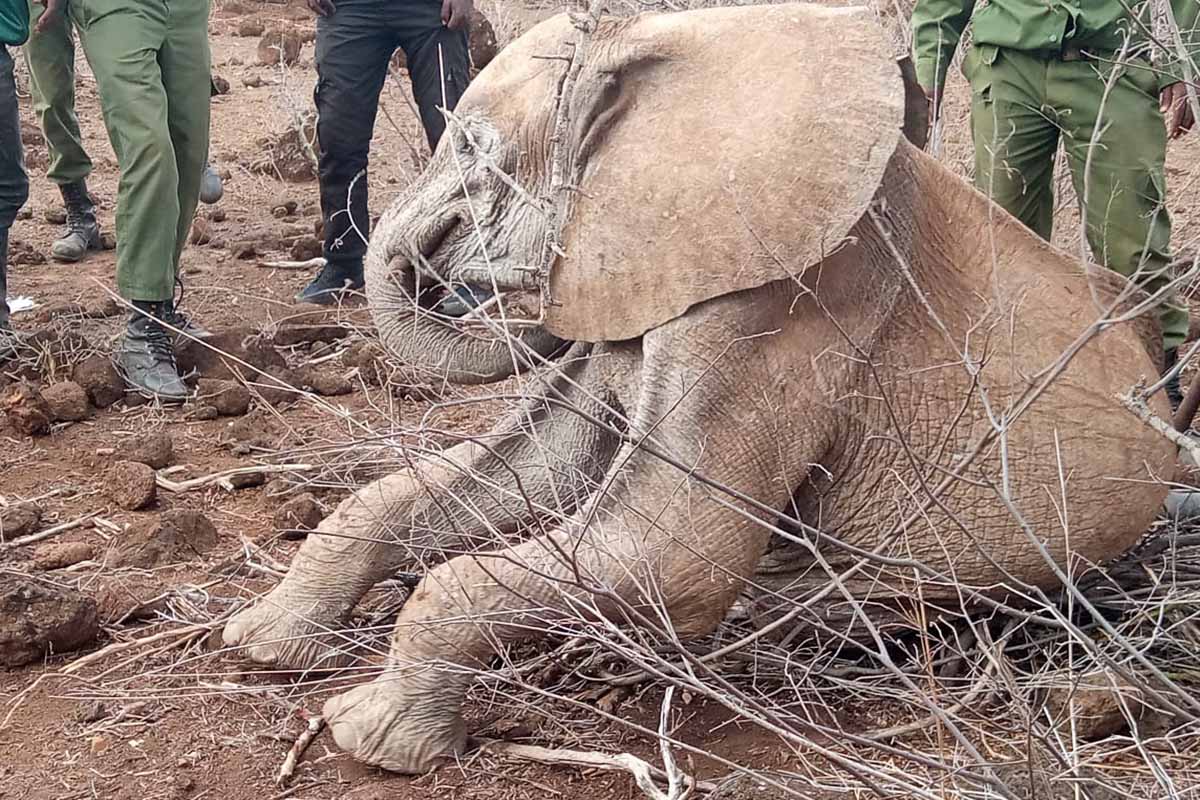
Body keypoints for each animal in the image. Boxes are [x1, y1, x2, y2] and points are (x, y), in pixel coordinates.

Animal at [220, 0, 1176, 777]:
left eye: (469, 145)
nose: (509, 302)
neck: (676, 42)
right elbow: (526, 470)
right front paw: (258, 647)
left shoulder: (788, 304)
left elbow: (676, 554)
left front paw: (368, 738)